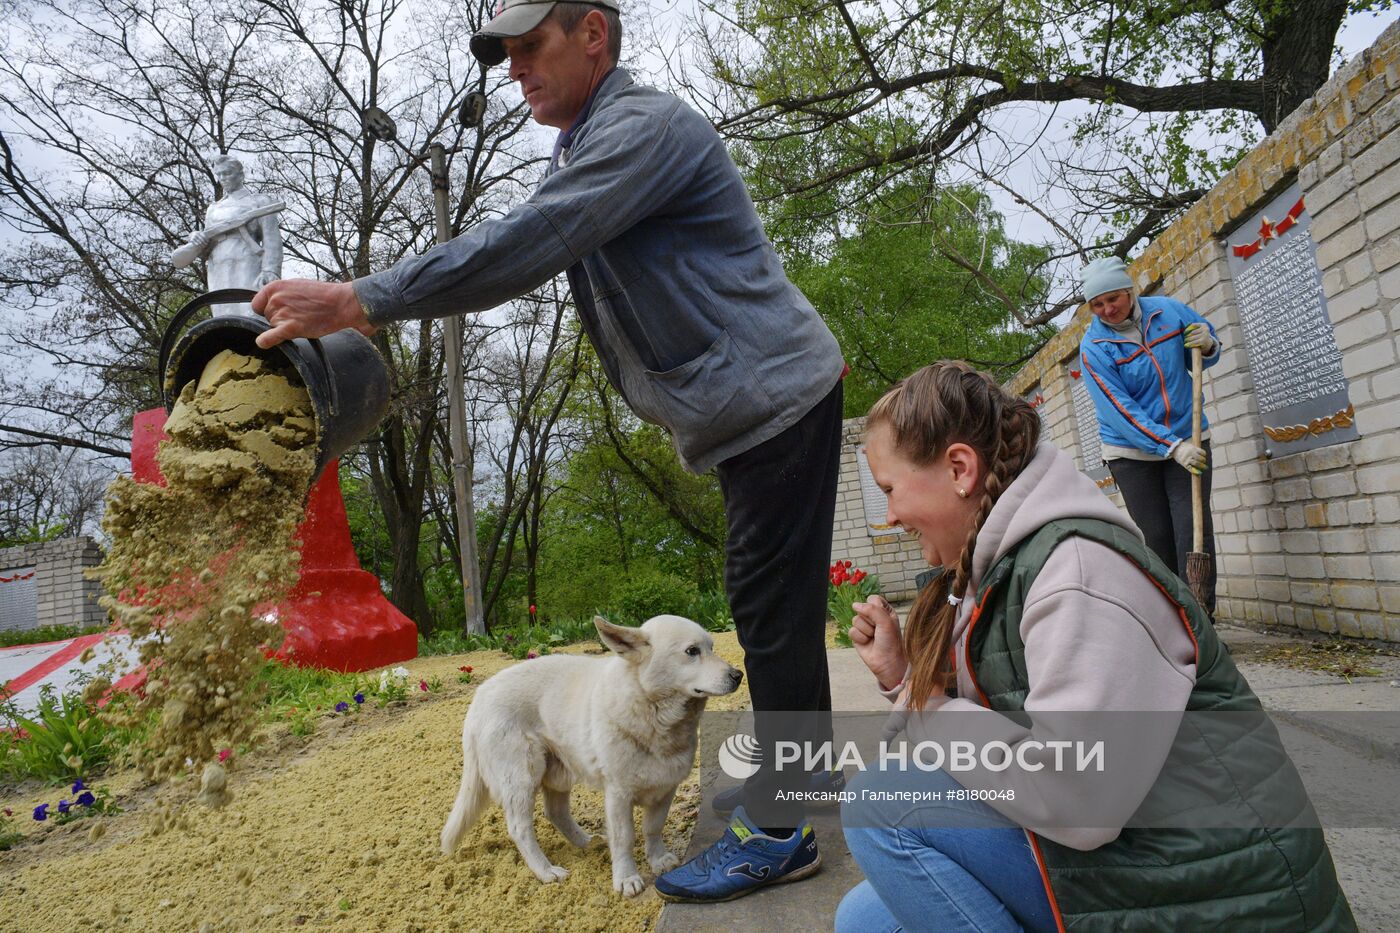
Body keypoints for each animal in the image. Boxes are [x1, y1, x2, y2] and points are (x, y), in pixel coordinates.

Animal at [439, 610, 744, 896]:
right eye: (692, 651)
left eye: (712, 647)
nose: (738, 675)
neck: (652, 713)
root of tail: (478, 698)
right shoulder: (618, 794)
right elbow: (624, 838)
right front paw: (626, 878)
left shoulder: (665, 788)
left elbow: (653, 827)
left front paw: (657, 860)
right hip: (521, 778)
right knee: (520, 828)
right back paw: (545, 871)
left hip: (558, 772)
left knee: (556, 812)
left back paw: (587, 842)